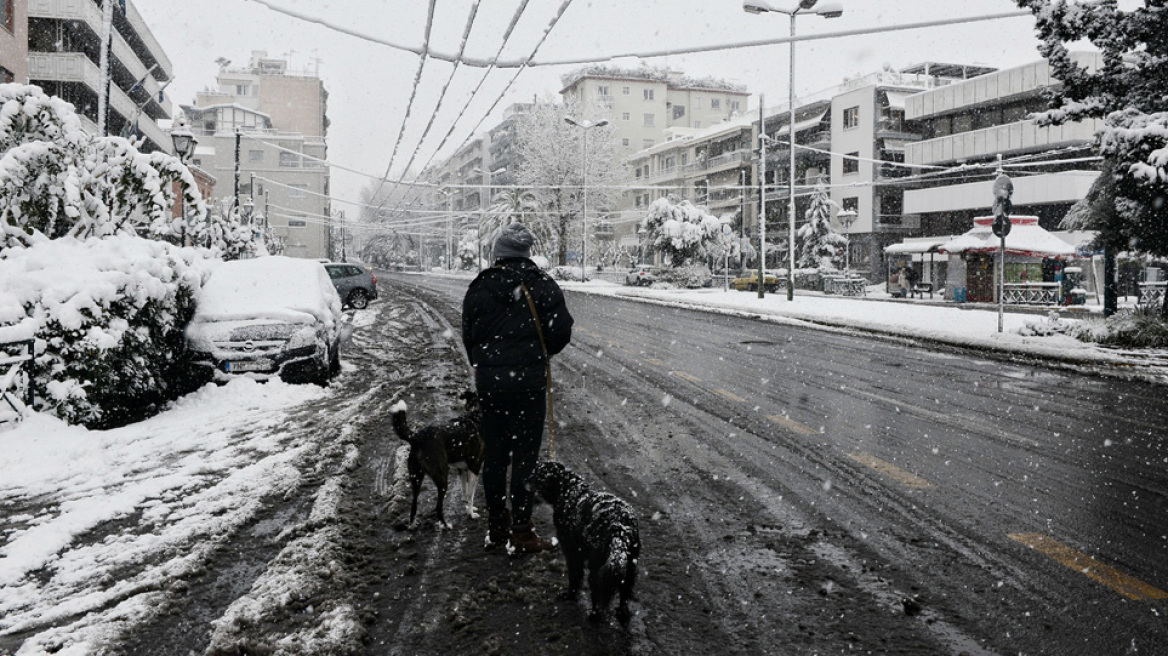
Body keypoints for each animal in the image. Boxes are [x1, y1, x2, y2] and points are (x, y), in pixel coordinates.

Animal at [390, 387, 481, 525]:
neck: (475, 414)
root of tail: (418, 437)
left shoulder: (463, 469)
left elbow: (465, 492)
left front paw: (466, 508)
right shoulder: (475, 468)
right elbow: (471, 495)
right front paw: (470, 514)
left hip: (416, 477)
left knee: (413, 505)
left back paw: (412, 525)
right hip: (442, 477)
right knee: (438, 507)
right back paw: (446, 525)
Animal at [527, 457, 640, 620]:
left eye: (536, 475)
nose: (524, 481)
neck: (567, 488)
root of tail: (619, 529)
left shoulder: (572, 551)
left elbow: (575, 576)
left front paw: (570, 595)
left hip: (597, 565)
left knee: (597, 590)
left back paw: (594, 615)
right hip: (630, 564)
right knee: (624, 590)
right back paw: (622, 613)